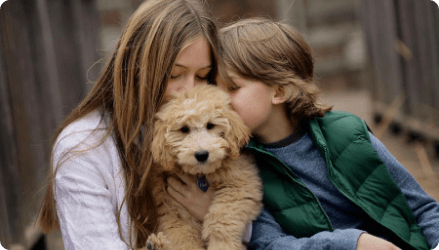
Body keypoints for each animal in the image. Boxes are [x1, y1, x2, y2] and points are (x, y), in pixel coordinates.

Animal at [147, 84, 264, 250]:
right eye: (184, 129)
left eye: (210, 125)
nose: (202, 154)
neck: (201, 174)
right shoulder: (172, 206)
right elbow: (183, 236)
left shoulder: (240, 186)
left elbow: (221, 220)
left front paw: (221, 245)